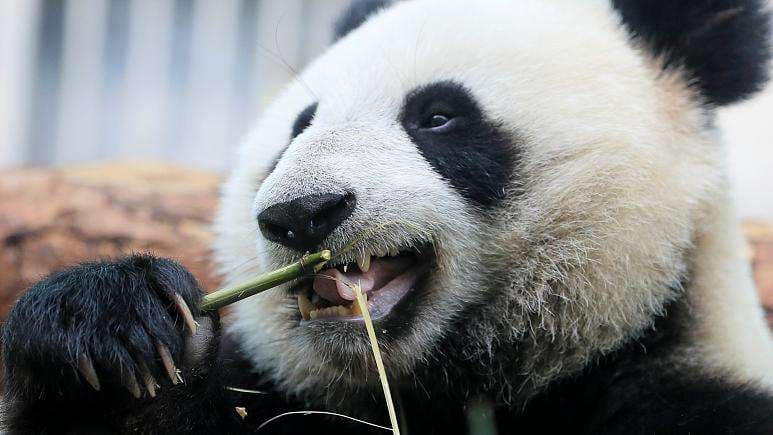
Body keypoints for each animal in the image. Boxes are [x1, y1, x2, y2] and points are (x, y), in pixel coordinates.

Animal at [3, 0, 773, 433]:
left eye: (438, 116)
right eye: (300, 125)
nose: (301, 214)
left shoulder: (680, 393)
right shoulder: (283, 399)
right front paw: (117, 332)